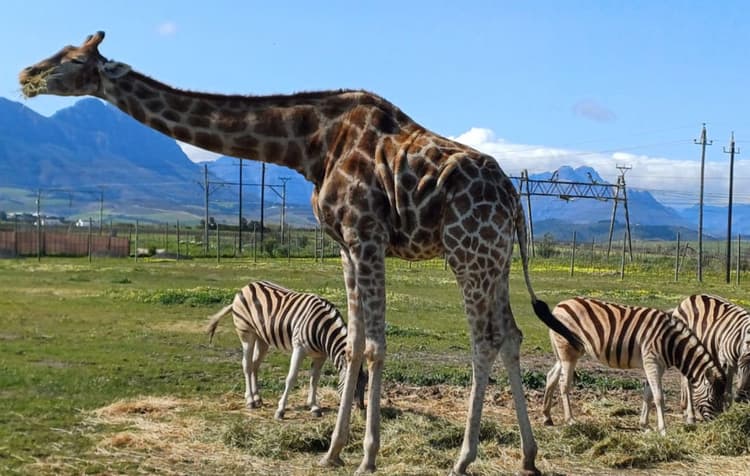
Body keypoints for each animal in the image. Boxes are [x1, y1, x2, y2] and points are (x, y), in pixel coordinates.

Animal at [19, 31, 582, 475]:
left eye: (72, 59)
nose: (27, 73)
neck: (307, 145)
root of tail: (514, 200)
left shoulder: (365, 234)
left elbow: (374, 346)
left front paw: (367, 456)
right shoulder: (345, 246)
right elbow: (354, 344)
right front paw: (333, 450)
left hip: (468, 251)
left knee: (484, 339)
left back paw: (463, 458)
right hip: (495, 258)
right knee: (510, 334)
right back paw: (529, 456)